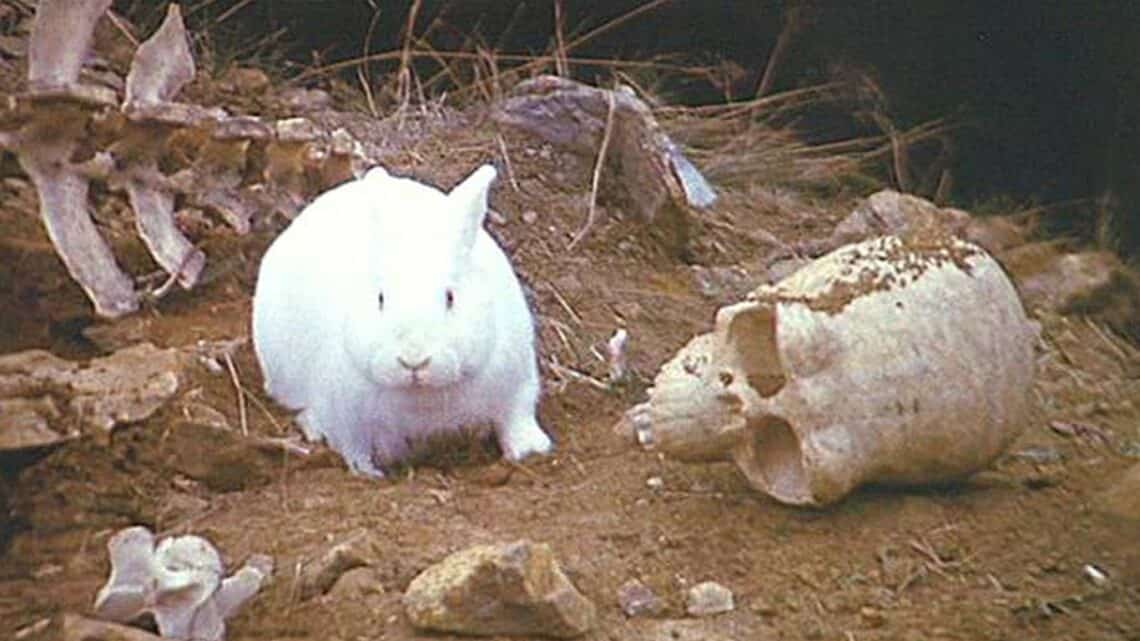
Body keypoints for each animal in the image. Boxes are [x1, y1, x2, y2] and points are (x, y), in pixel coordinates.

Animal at [251, 164, 554, 477]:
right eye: (381, 299)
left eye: (450, 298)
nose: (414, 361)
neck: (422, 396)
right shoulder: (346, 419)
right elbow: (354, 449)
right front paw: (369, 475)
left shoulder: (517, 382)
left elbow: (516, 417)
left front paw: (530, 449)